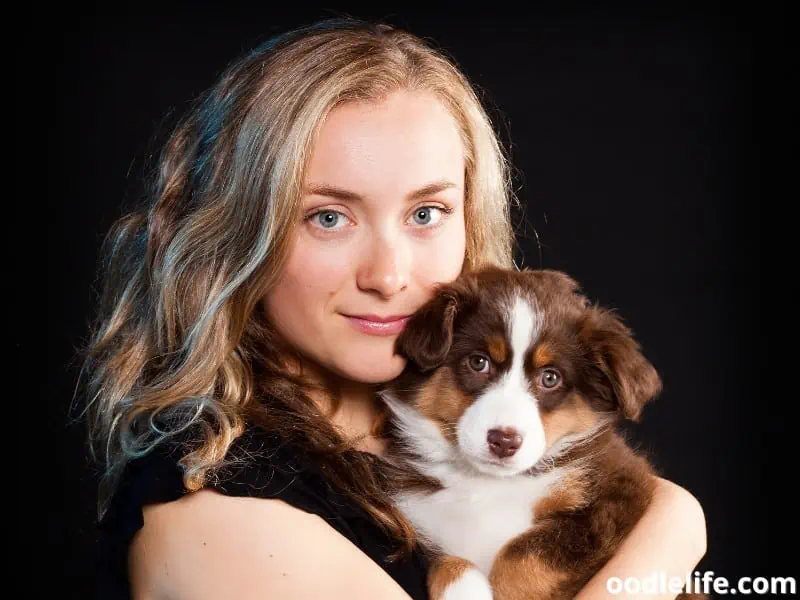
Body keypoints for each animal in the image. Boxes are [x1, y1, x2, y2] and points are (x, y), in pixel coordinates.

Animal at [378, 268, 704, 600]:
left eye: (550, 378)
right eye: (478, 362)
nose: (504, 441)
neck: (486, 483)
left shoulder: (619, 497)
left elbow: (519, 556)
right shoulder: (425, 528)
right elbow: (446, 562)